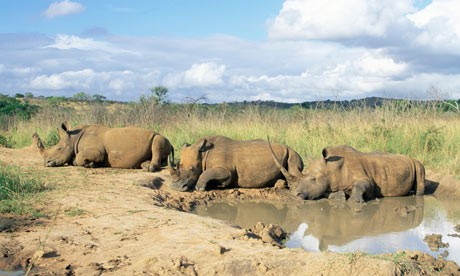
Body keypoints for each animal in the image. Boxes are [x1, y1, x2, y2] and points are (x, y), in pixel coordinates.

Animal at [32, 122, 172, 171]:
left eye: (58, 149)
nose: (46, 163)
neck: (73, 139)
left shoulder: (98, 151)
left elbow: (80, 157)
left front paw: (90, 164)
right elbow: (75, 159)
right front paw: (90, 164)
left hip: (160, 137)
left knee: (157, 142)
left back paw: (150, 168)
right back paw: (145, 165)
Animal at [167, 135, 304, 191]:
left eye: (192, 169)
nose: (176, 188)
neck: (203, 153)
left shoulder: (227, 171)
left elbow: (208, 173)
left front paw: (200, 187)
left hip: (292, 153)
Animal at [272, 144, 426, 203]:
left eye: (313, 179)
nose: (294, 195)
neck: (333, 168)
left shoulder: (366, 179)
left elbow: (363, 185)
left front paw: (355, 201)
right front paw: (340, 196)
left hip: (417, 164)